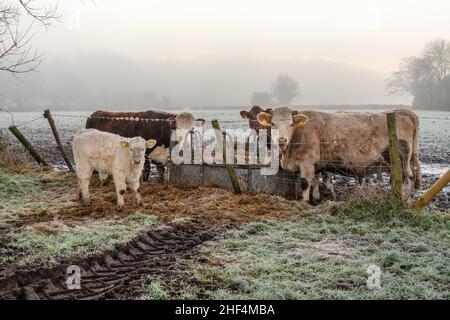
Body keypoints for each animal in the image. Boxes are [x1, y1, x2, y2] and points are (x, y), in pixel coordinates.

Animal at [256, 107, 422, 202]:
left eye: (291, 124)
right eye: (272, 124)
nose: (281, 139)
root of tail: (402, 112)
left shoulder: (307, 164)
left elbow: (305, 183)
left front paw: (304, 202)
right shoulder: (317, 165)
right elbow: (315, 181)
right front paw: (316, 198)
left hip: (402, 160)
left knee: (408, 178)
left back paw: (404, 200)